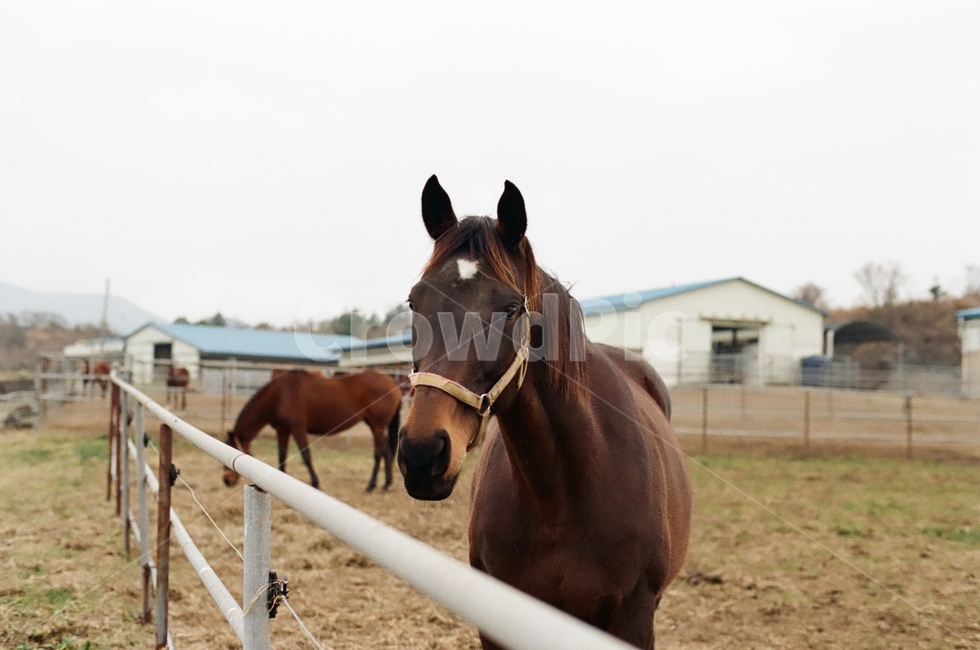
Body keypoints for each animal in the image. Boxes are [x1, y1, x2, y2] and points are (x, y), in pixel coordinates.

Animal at [223, 369, 402, 492]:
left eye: (232, 450)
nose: (226, 481)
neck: (279, 395)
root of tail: (392, 383)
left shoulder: (298, 429)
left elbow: (306, 456)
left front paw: (315, 483)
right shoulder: (283, 430)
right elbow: (282, 455)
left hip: (377, 425)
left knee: (379, 453)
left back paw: (371, 486)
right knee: (386, 452)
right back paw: (386, 484)